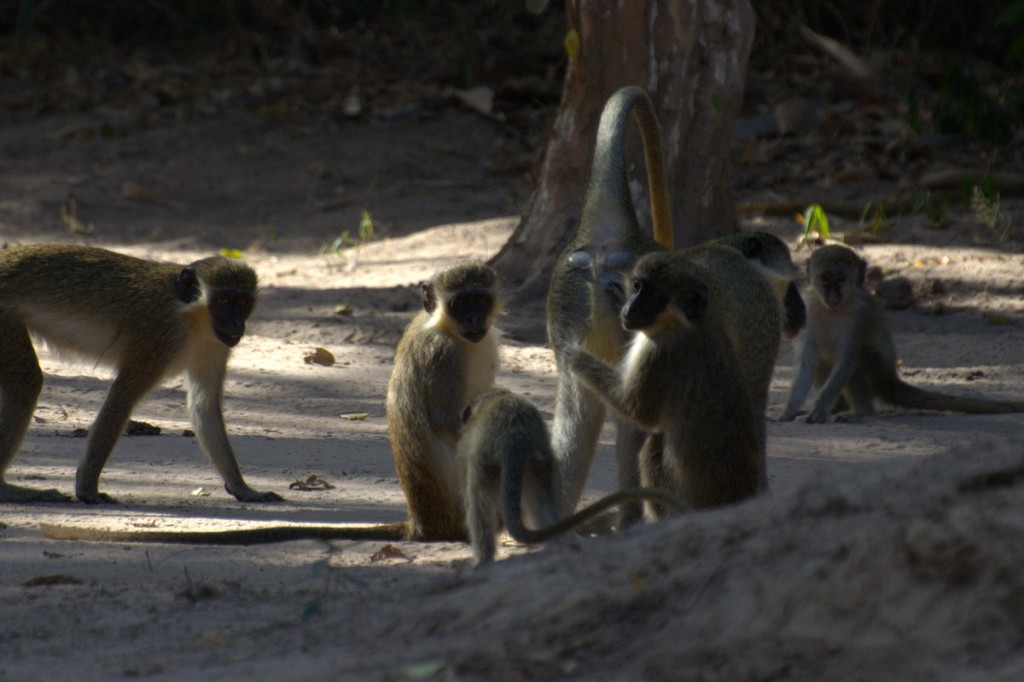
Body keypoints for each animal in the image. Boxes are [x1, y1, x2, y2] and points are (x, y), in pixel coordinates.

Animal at [0, 241, 280, 501]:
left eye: (242, 302)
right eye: (224, 301)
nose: (236, 323)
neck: (190, 317)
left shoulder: (216, 346)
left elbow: (204, 407)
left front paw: (242, 488)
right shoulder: (159, 336)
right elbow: (123, 394)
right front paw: (88, 487)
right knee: (27, 382)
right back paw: (7, 490)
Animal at [385, 258, 501, 540]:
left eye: (479, 300)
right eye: (460, 303)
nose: (473, 318)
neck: (443, 327)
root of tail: (421, 523)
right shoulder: (443, 356)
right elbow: (443, 421)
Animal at [573, 251, 765, 512]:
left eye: (653, 295)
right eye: (637, 286)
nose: (631, 308)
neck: (687, 323)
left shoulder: (659, 352)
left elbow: (637, 411)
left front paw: (574, 356)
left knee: (652, 447)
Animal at [778, 238, 1024, 419]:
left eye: (840, 279)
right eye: (826, 278)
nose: (833, 293)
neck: (831, 309)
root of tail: (891, 380)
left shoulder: (859, 314)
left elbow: (848, 358)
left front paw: (819, 410)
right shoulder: (809, 308)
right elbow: (808, 359)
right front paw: (788, 411)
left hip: (878, 373)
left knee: (860, 357)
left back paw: (861, 413)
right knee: (824, 360)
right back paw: (839, 408)